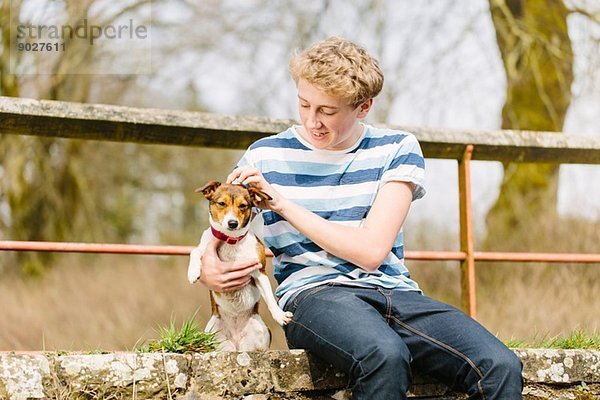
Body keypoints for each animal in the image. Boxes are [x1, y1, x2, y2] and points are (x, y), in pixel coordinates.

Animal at [186, 180, 292, 352]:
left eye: (243, 206)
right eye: (222, 203)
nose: (232, 223)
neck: (231, 241)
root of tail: (236, 344)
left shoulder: (260, 272)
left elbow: (270, 298)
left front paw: (279, 315)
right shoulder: (204, 248)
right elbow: (194, 251)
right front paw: (193, 273)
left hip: (261, 332)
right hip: (212, 335)